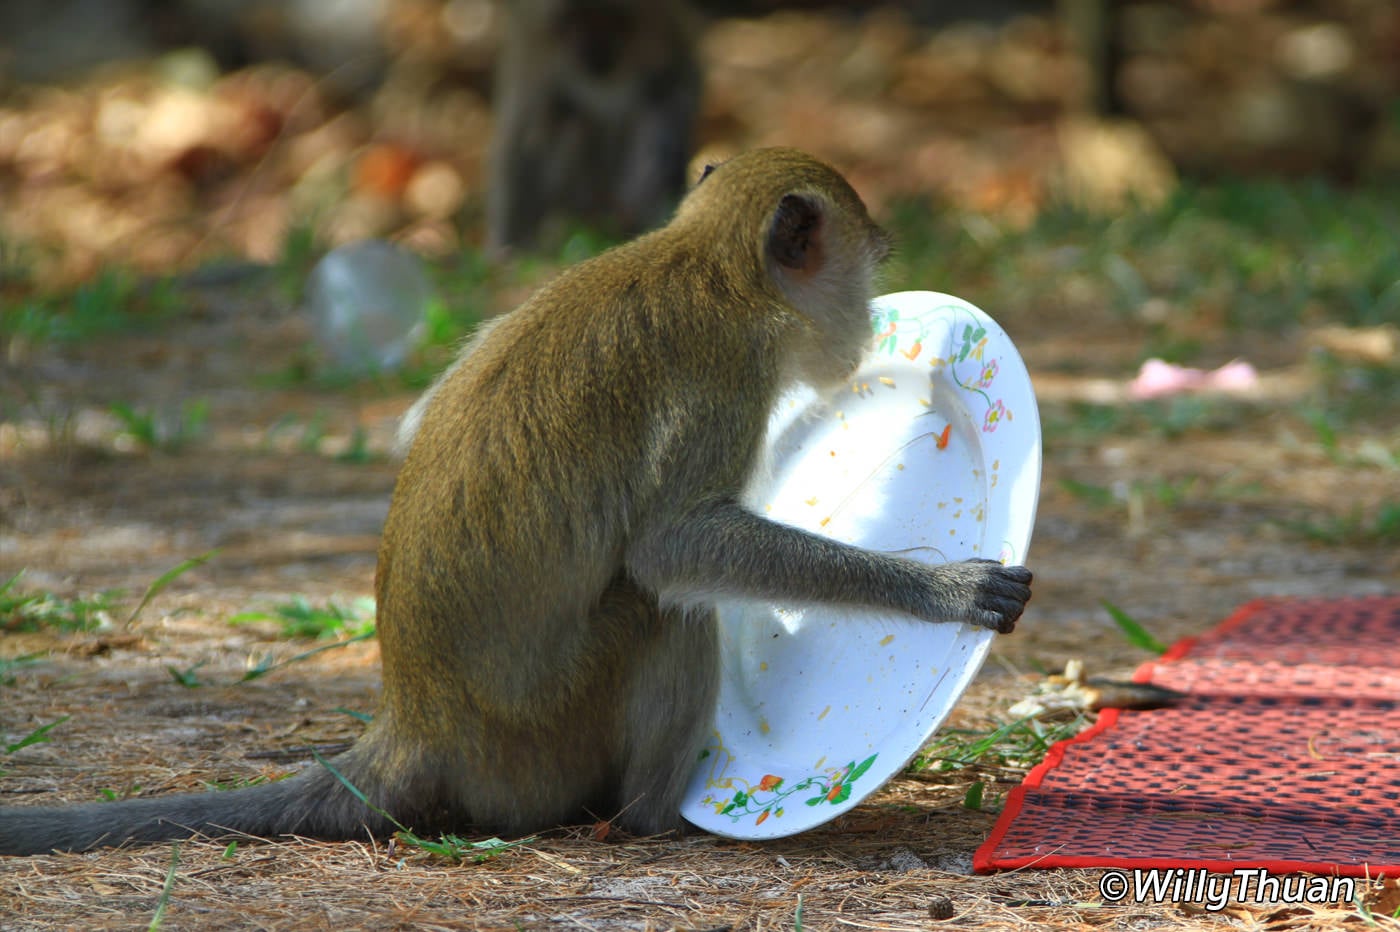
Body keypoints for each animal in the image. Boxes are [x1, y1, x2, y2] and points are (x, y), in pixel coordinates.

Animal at [0, 148, 1032, 856]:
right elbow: (670, 549)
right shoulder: (729, 376)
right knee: (658, 608)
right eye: (861, 269)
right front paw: (938, 592)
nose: (865, 322)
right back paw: (654, 818)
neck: (704, 264)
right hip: (544, 740)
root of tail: (417, 724)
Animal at [486, 0, 702, 252]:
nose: (594, 50)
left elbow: (672, 94)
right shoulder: (533, 42)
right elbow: (521, 137)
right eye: (579, 23)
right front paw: (511, 246)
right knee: (568, 117)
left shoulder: (666, 33)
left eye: (606, 22)